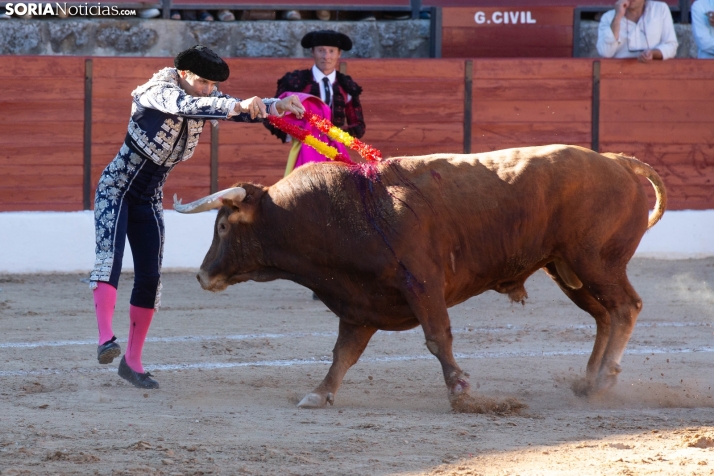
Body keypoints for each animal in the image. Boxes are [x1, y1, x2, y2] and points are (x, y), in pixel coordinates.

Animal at [175, 143, 664, 410]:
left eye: (223, 226)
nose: (201, 276)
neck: (349, 210)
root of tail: (615, 161)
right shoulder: (360, 303)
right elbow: (343, 353)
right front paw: (319, 393)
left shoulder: (423, 284)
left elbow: (436, 337)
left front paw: (461, 393)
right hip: (568, 269)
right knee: (604, 316)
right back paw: (590, 381)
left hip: (595, 262)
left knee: (626, 307)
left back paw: (604, 379)